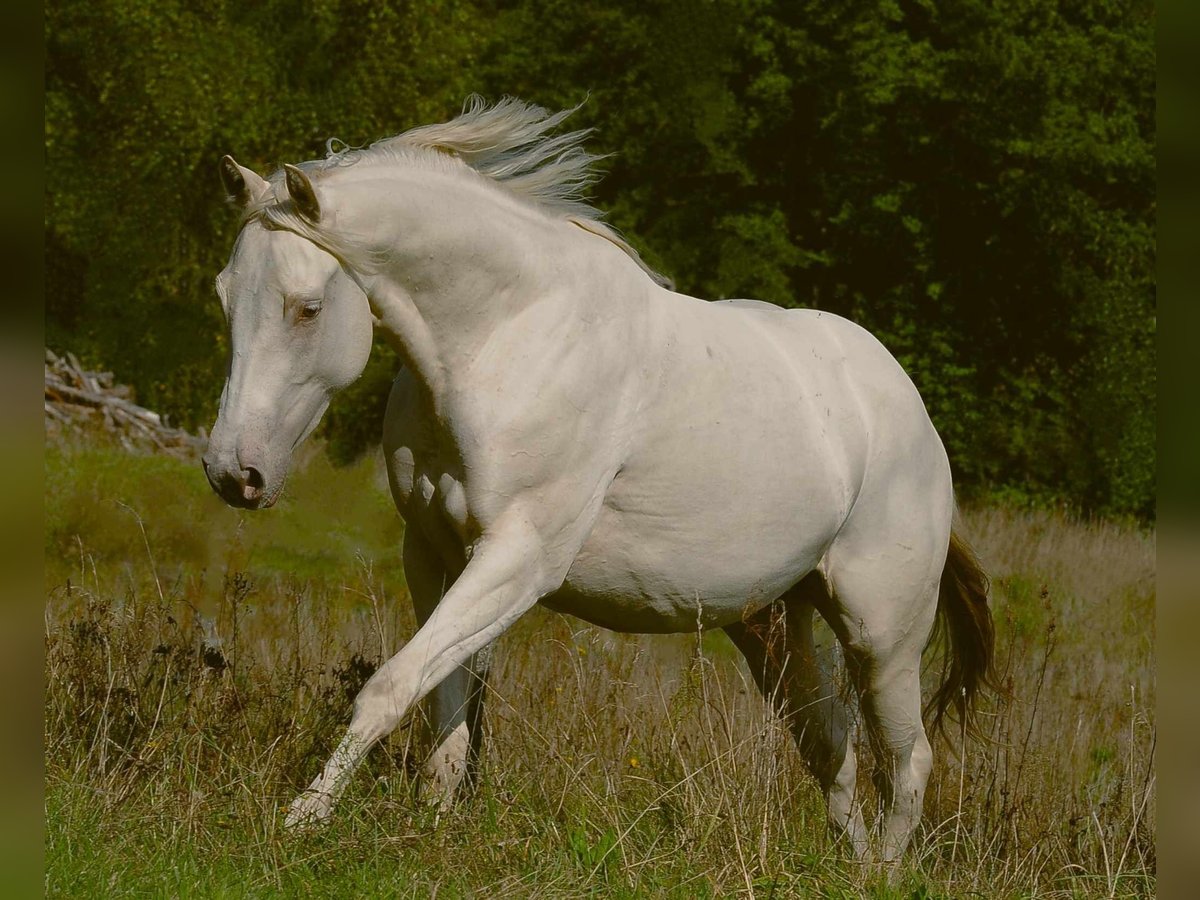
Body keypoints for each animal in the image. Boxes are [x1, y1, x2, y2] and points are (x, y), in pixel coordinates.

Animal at [206, 95, 993, 864]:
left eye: (306, 307)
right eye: (224, 295)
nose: (232, 473)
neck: (504, 337)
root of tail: (914, 417)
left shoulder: (519, 560)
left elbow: (388, 687)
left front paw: (301, 821)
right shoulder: (432, 553)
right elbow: (445, 713)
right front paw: (430, 829)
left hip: (882, 635)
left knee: (907, 761)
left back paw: (883, 873)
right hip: (770, 622)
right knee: (830, 746)